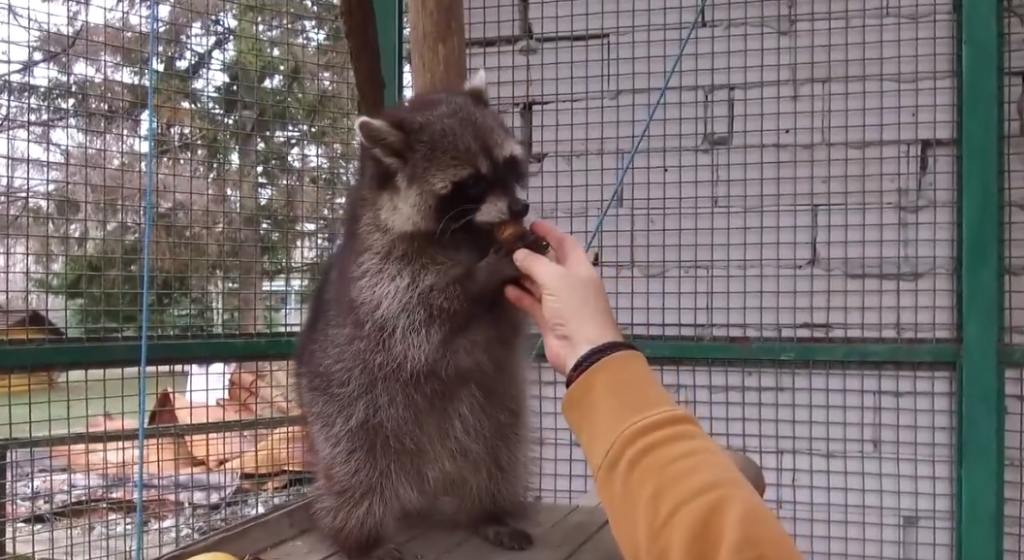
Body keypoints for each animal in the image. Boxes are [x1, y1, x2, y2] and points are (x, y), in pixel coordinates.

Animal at [294, 70, 536, 560]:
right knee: (355, 476)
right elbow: (416, 311)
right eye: (472, 183)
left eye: (509, 165)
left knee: (499, 453)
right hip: (348, 407)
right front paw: (482, 278)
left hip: (493, 408)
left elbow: (507, 321)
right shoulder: (381, 269)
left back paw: (490, 511)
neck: (468, 231)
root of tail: (428, 464)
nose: (521, 208)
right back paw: (360, 538)